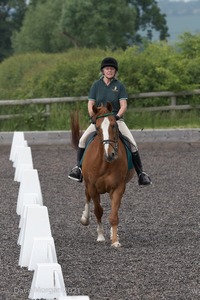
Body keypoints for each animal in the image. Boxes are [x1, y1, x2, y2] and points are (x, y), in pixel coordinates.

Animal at [70, 102, 134, 247]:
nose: (110, 154)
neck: (105, 163)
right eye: (98, 127)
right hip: (88, 184)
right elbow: (98, 211)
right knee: (87, 196)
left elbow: (114, 214)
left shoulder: (118, 187)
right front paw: (100, 236)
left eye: (114, 125)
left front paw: (115, 240)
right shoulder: (92, 187)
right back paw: (85, 219)